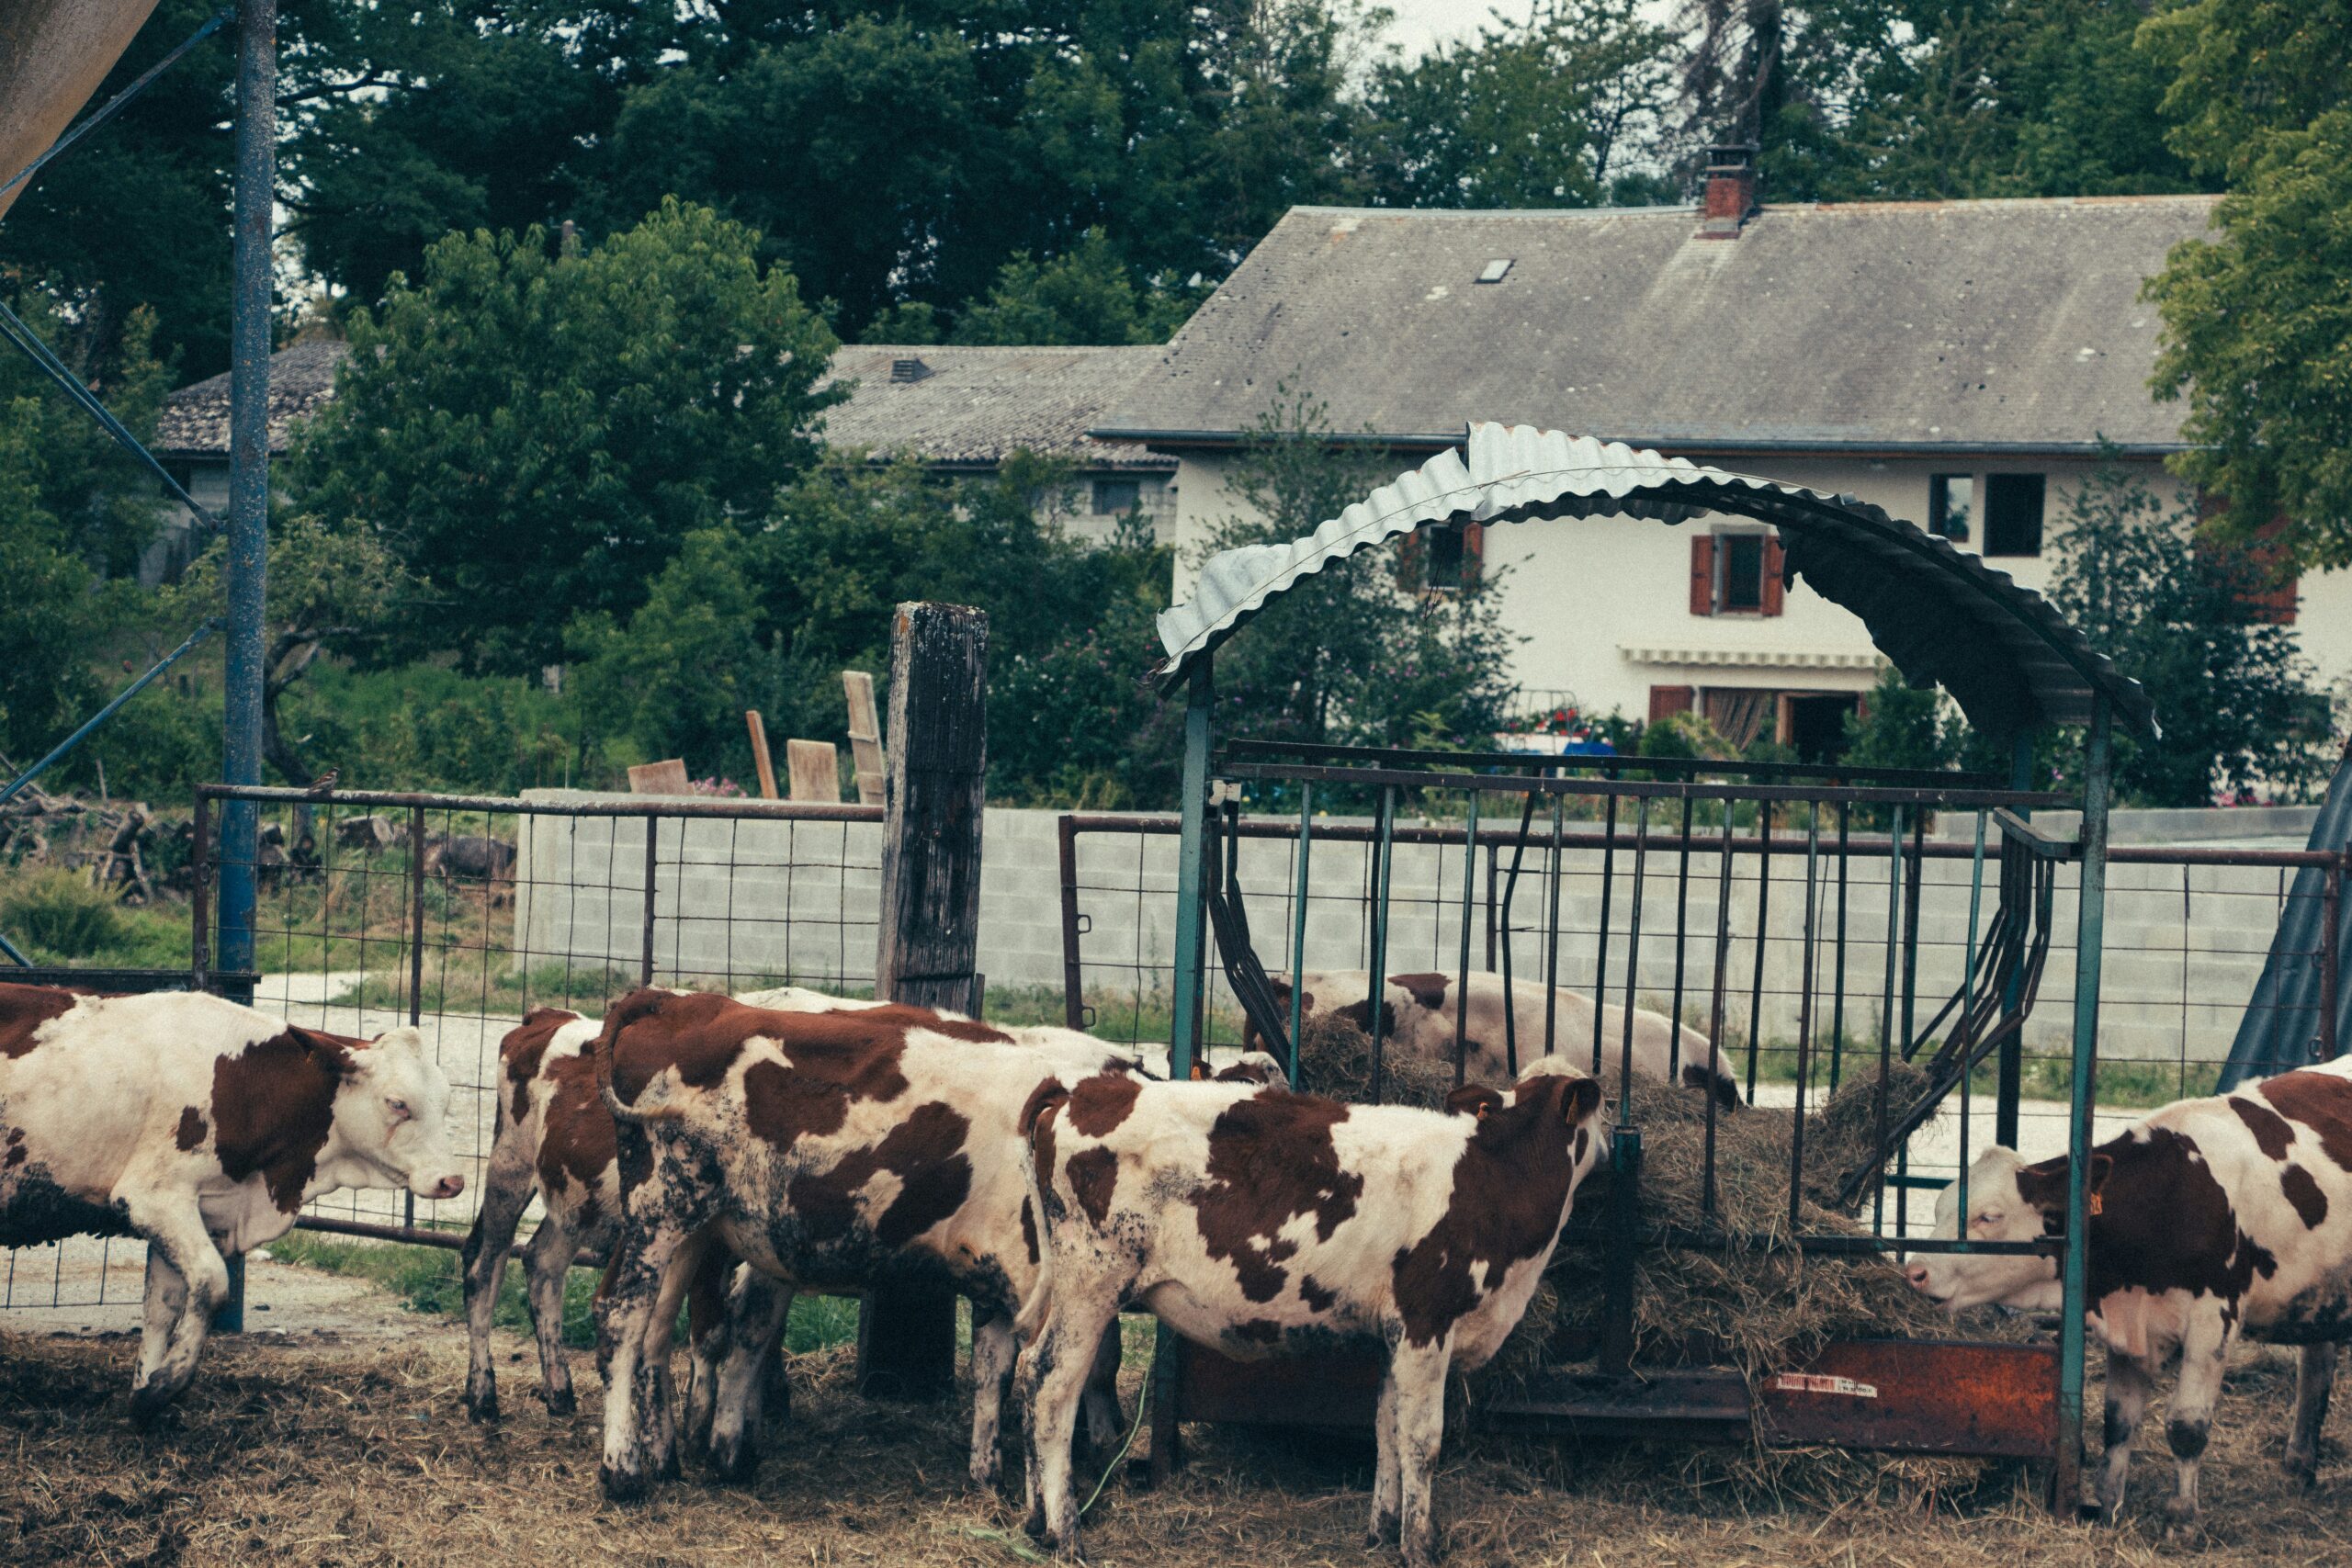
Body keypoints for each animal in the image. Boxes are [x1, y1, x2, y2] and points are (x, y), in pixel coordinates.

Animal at [0, 987, 463, 1419]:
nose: (453, 1180)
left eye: (445, 1103)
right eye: (397, 1103)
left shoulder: (199, 1210)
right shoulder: (152, 1198)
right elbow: (211, 1282)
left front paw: (144, 1387)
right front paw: (165, 1385)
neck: (242, 1085)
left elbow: (162, 1307)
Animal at [1021, 1062, 1609, 1561]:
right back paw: (1066, 1533)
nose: (1612, 1149)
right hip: (1092, 1282)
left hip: (1065, 1286)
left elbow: (1386, 1429)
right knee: (1051, 1388)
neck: (1494, 1176)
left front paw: (1381, 1533)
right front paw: (1419, 1546)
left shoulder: (1394, 1335)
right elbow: (1422, 1441)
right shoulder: (1425, 1324)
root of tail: (1080, 1090)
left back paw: (1034, 1521)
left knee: (1027, 1369)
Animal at [1909, 1062, 2352, 1523]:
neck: (2174, 1194)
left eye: (1989, 1216)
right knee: (2316, 1363)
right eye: (1939, 1209)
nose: (1915, 1270)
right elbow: (2117, 1421)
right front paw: (2107, 1507)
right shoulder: (2128, 1322)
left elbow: (2187, 1427)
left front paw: (2181, 1517)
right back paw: (2300, 1466)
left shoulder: (2215, 1321)